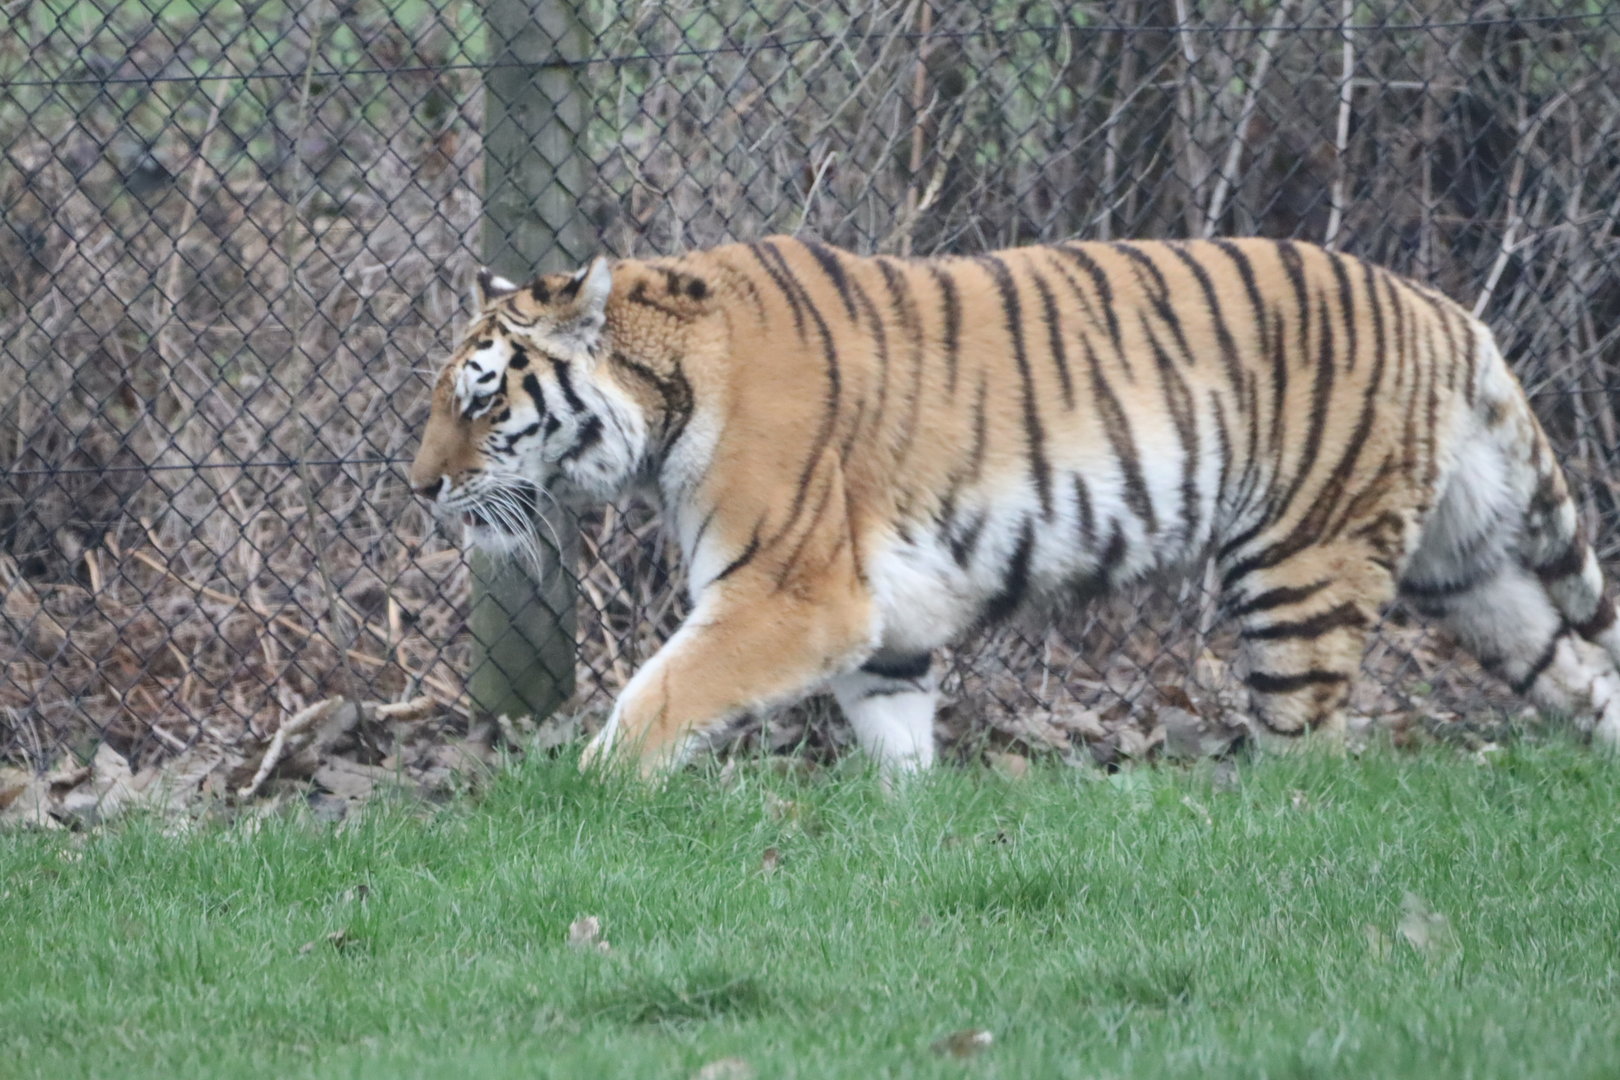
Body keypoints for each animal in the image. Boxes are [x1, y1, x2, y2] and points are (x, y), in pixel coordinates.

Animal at [408, 235, 1620, 777]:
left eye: (480, 396)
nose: (419, 487)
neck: (669, 392)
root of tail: (1442, 311)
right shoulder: (882, 618)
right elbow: (896, 741)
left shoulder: (789, 597)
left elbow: (660, 695)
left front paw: (589, 794)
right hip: (1469, 569)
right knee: (1574, 663)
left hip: (1304, 567)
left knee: (1309, 751)